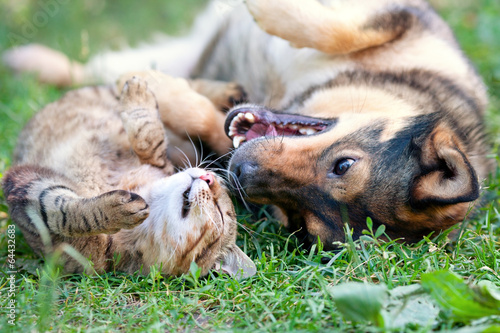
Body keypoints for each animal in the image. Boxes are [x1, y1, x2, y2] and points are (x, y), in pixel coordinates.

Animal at [2, 76, 254, 278]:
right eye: (219, 186)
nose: (209, 176)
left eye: (220, 212)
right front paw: (138, 95)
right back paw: (228, 91)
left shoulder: (25, 188)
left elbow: (64, 214)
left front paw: (114, 210)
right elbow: (150, 138)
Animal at [3, 0, 494, 248]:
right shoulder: (405, 18)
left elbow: (207, 120)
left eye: (300, 221)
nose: (239, 173)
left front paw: (163, 90)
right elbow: (338, 27)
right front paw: (268, 8)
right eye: (344, 165)